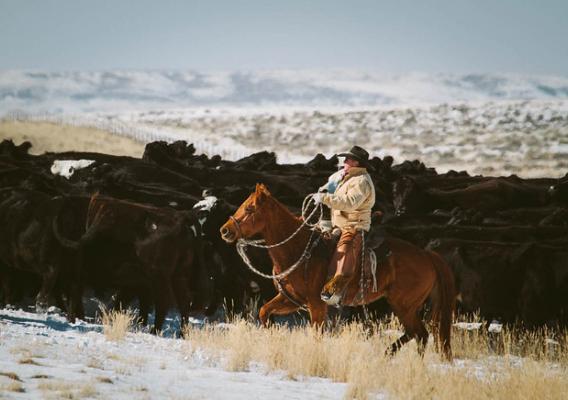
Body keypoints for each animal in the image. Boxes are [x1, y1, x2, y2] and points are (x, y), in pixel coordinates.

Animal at [220, 184, 454, 360]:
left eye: (249, 209)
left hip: (404, 305)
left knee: (420, 334)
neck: (298, 249)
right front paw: (271, 332)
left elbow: (316, 334)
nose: (225, 230)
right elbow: (264, 311)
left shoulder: (317, 304)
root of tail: (427, 256)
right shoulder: (291, 299)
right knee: (418, 334)